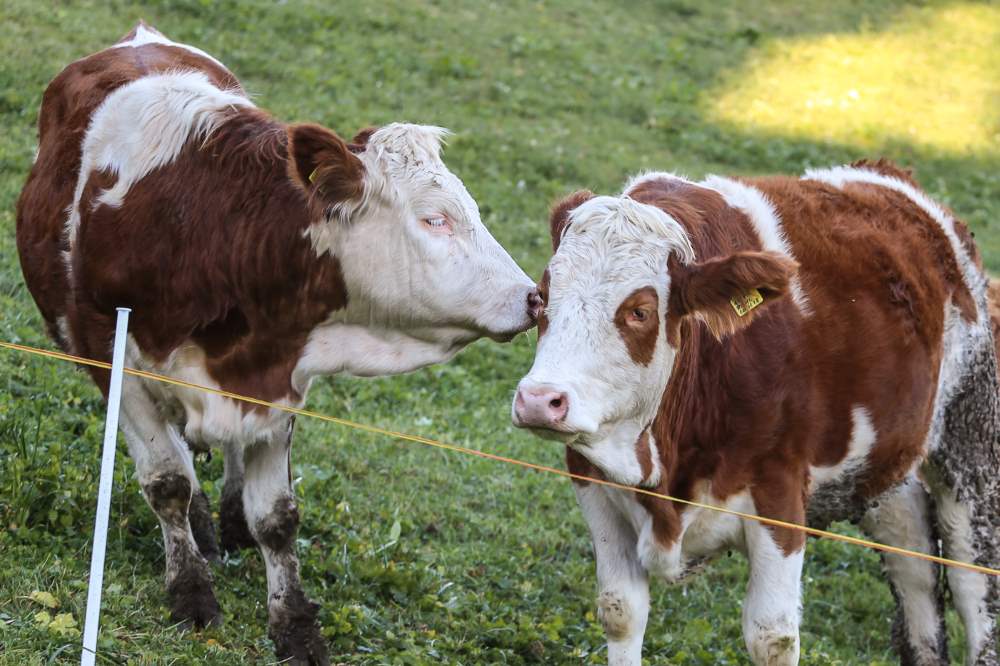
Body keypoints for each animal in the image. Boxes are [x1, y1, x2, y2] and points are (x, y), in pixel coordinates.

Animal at [15, 22, 540, 664]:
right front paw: (191, 591)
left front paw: (293, 624)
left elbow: (277, 517)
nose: (533, 297)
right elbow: (166, 482)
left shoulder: (280, 377)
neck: (211, 229)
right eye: (433, 219)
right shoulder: (114, 360)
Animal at [512, 162, 996, 664]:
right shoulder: (590, 479)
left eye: (640, 311)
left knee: (970, 579)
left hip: (969, 441)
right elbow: (620, 610)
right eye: (541, 296)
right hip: (886, 468)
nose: (540, 399)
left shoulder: (779, 496)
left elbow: (771, 636)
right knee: (913, 563)